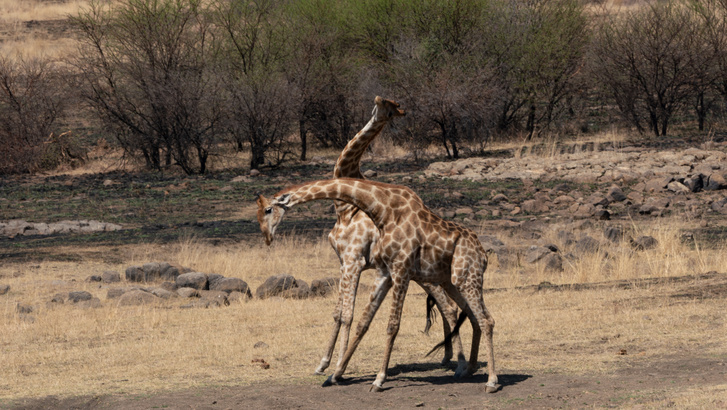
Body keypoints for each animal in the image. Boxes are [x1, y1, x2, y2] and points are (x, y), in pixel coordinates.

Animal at [256, 178, 499, 393]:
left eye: (268, 210)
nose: (267, 238)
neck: (383, 211)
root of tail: (482, 252)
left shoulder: (400, 269)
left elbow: (392, 325)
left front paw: (378, 380)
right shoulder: (385, 273)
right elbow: (363, 321)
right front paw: (334, 375)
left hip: (466, 278)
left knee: (486, 319)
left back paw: (491, 381)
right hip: (451, 281)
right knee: (473, 316)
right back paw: (468, 369)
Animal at [317, 96, 464, 375]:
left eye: (390, 106)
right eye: (383, 103)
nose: (376, 102)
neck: (343, 208)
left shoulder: (353, 260)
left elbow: (347, 315)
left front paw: (338, 366)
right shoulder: (343, 262)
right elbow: (337, 313)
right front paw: (323, 363)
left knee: (449, 307)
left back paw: (457, 362)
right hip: (420, 274)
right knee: (448, 306)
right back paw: (448, 358)